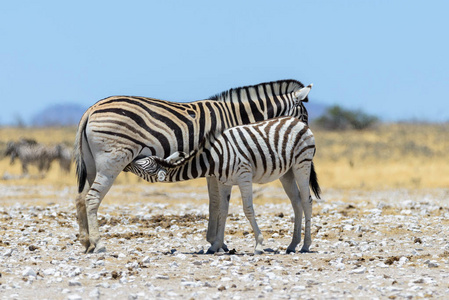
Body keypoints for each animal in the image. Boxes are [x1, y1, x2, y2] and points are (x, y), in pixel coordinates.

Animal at [128, 116, 320, 254]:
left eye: (143, 164)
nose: (129, 160)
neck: (214, 158)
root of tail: (297, 121)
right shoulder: (224, 182)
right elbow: (222, 210)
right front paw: (215, 246)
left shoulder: (244, 176)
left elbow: (248, 209)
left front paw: (258, 245)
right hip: (287, 173)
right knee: (296, 202)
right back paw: (293, 245)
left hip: (302, 164)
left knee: (306, 201)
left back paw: (305, 245)